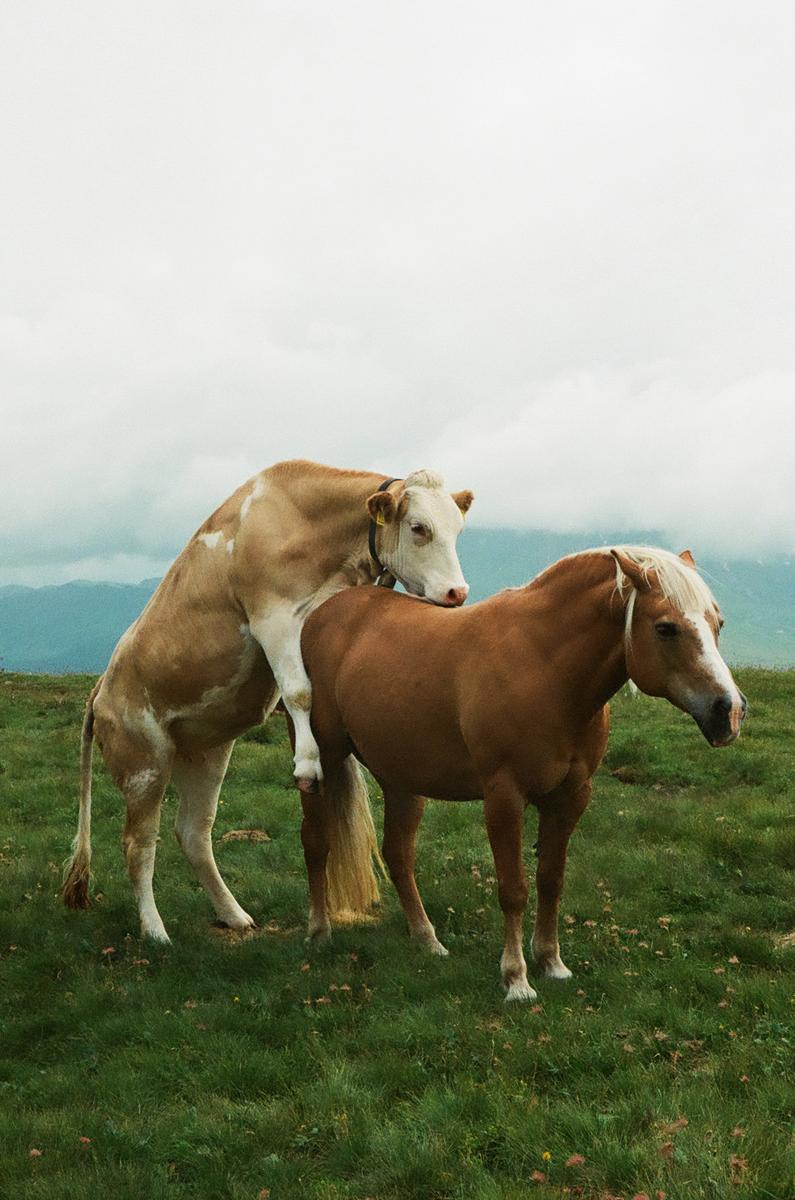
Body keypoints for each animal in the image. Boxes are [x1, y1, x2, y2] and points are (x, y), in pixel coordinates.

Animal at [62, 460, 473, 943]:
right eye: (418, 527)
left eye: (458, 528)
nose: (457, 593)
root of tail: (102, 689)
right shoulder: (272, 617)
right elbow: (298, 691)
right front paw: (307, 763)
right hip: (144, 763)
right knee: (139, 844)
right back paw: (155, 929)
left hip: (206, 754)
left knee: (193, 834)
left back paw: (234, 914)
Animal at [298, 546, 747, 1000]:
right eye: (666, 628)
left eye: (718, 623)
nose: (729, 710)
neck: (545, 667)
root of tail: (328, 613)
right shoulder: (504, 797)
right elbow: (513, 889)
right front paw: (516, 978)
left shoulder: (571, 796)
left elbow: (551, 879)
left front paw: (551, 962)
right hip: (322, 764)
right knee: (317, 843)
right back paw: (319, 932)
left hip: (403, 779)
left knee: (398, 854)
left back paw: (427, 939)